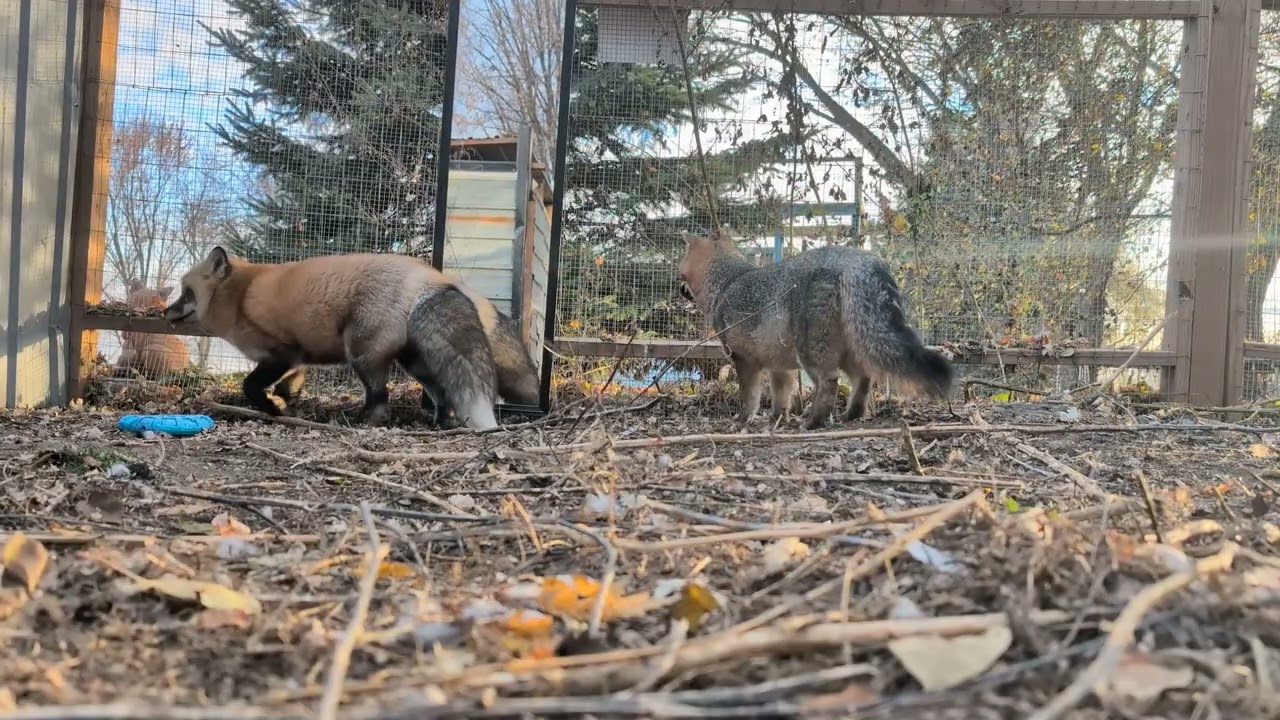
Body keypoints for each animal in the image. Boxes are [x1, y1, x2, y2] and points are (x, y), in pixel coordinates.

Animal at [163, 246, 539, 430]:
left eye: (185, 293)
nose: (165, 313)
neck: (239, 297)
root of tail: (434, 277)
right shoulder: (297, 360)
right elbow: (289, 386)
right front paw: (288, 404)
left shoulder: (281, 352)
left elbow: (251, 386)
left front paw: (271, 408)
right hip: (417, 364)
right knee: (442, 394)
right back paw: (441, 423)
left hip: (362, 355)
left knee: (381, 396)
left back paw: (365, 421)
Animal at [677, 230, 954, 429]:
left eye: (680, 275)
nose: (679, 290)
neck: (727, 282)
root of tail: (855, 258)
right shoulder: (780, 366)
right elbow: (781, 398)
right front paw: (777, 420)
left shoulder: (744, 360)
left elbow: (750, 397)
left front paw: (743, 419)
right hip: (850, 350)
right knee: (863, 378)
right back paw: (851, 415)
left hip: (812, 354)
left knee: (829, 383)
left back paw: (813, 422)